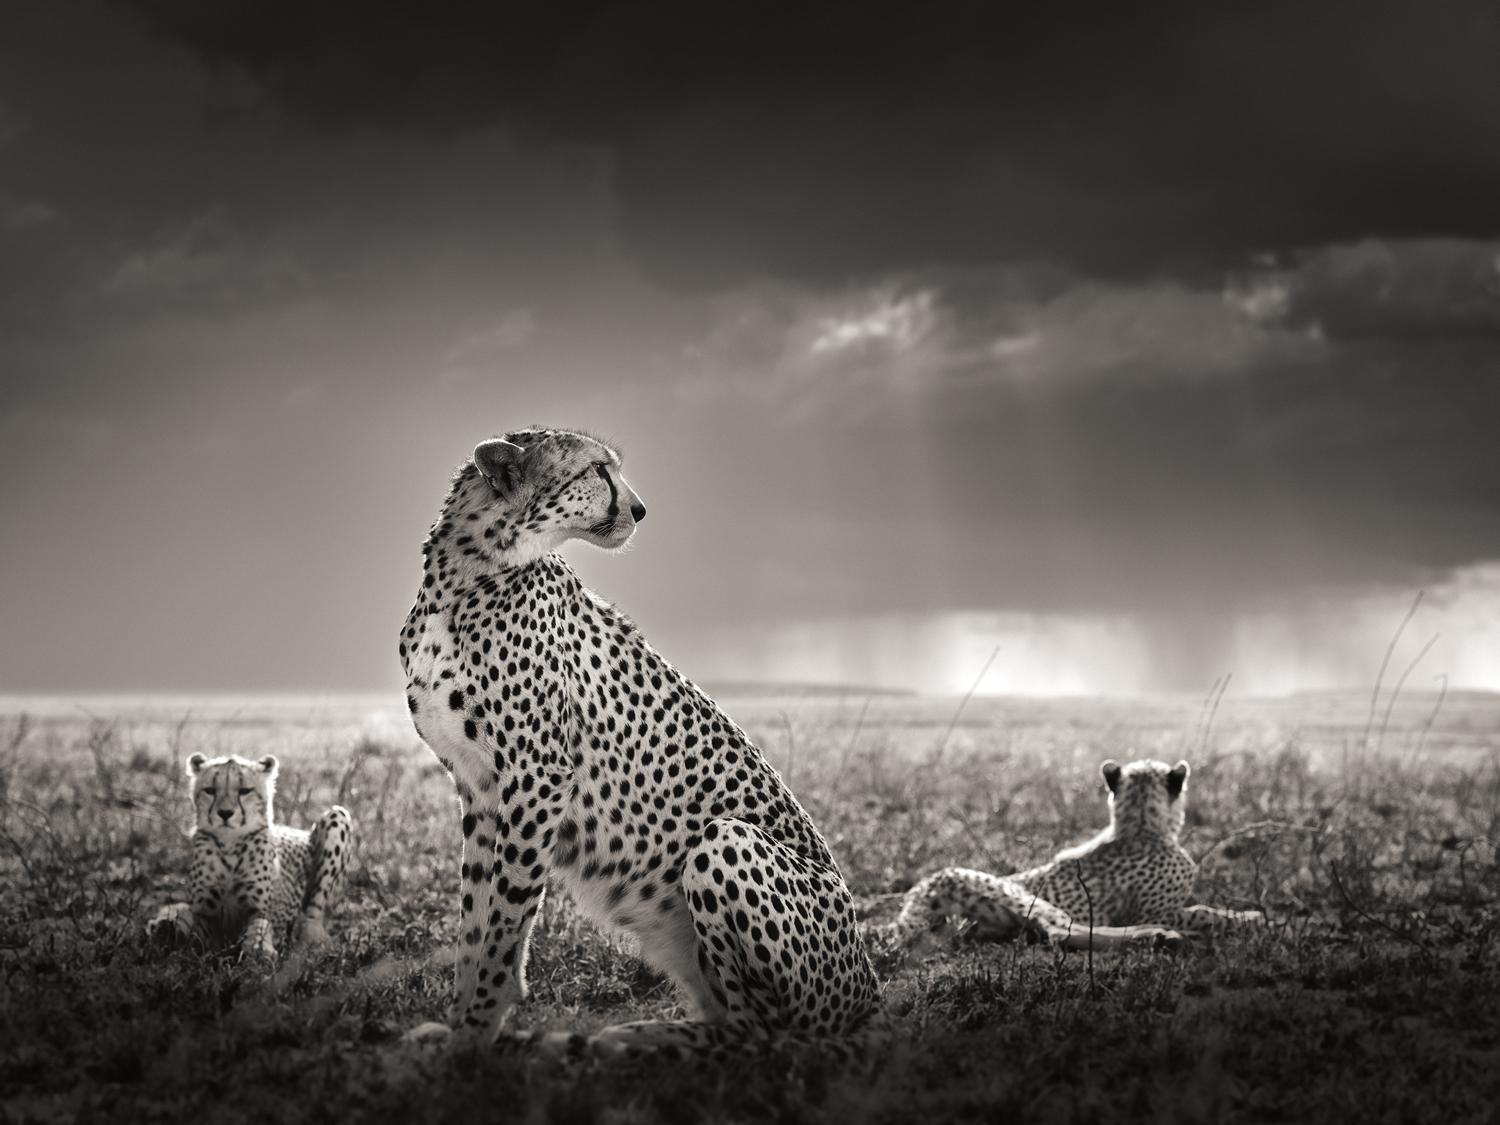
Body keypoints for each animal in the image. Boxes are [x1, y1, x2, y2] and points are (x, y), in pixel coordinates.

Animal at [147, 759, 355, 960]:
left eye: (244, 791)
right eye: (210, 790)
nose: (225, 813)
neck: (229, 844)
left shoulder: (261, 911)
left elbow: (260, 927)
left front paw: (259, 949)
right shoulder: (205, 916)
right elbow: (192, 931)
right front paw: (168, 929)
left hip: (338, 816)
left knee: (313, 916)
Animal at [405, 426, 882, 1062]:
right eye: (597, 469)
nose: (639, 510)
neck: (466, 571)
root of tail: (871, 992)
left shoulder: (538, 778)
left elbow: (504, 923)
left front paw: (473, 1038)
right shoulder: (479, 787)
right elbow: (476, 921)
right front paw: (459, 1026)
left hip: (724, 844)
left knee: (760, 1033)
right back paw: (637, 1037)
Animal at [888, 759, 1266, 954]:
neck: (1140, 826)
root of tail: (921, 886)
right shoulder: (1157, 909)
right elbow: (1203, 911)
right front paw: (1251, 917)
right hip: (1009, 893)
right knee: (1060, 930)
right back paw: (1154, 935)